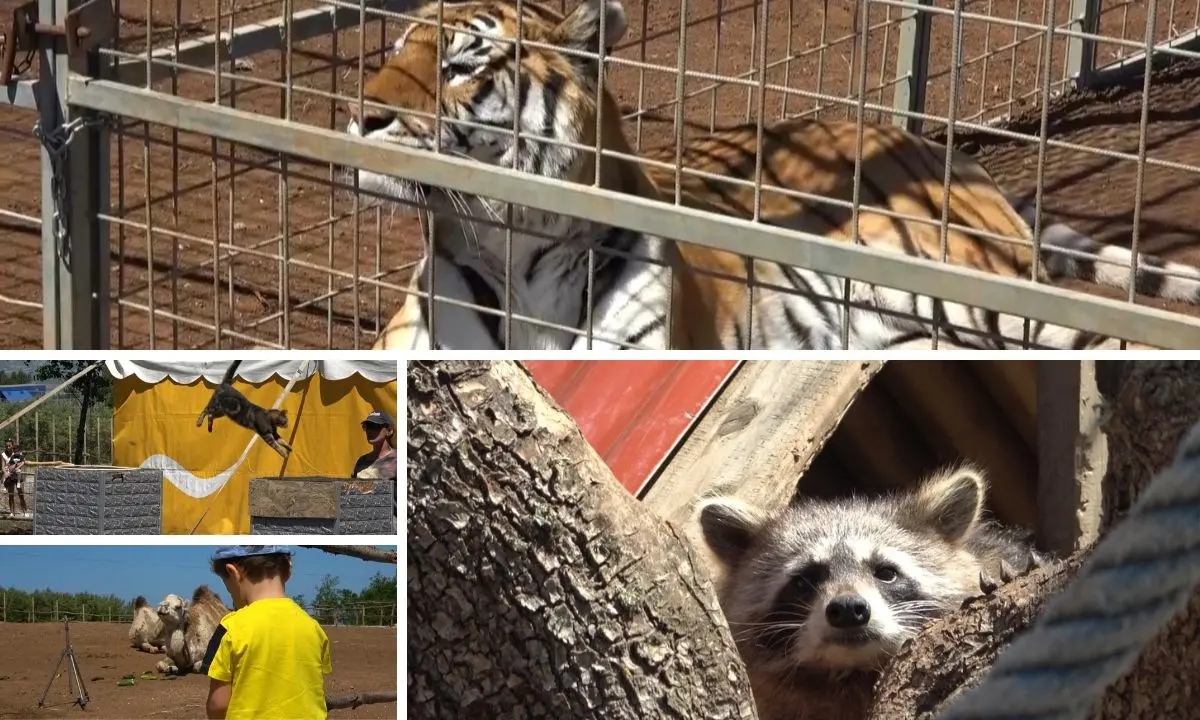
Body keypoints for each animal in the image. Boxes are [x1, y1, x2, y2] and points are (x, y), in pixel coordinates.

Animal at [348, 0, 1200, 350]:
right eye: (392, 53)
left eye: (463, 63)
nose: (360, 117)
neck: (514, 246)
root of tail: (917, 140)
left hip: (984, 298)